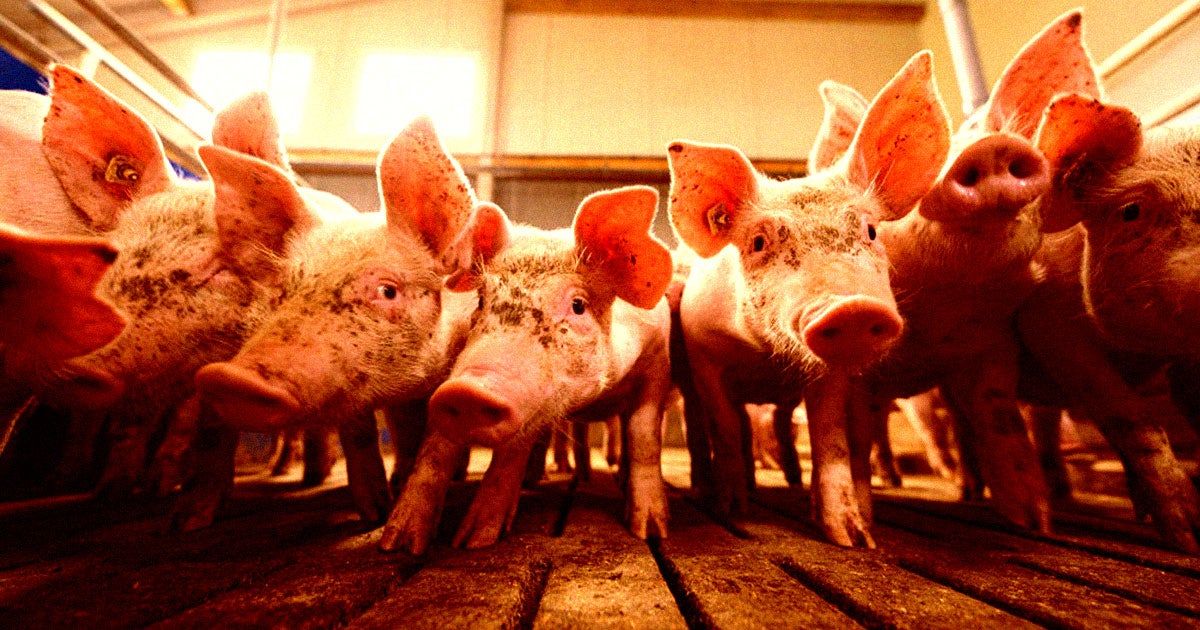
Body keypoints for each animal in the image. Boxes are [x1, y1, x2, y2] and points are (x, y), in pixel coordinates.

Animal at [193, 116, 486, 530]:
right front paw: (378, 511)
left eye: (388, 291)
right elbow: (371, 430)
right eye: (284, 289)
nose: (233, 379)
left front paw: (389, 520)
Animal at [379, 185, 674, 553]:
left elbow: (644, 437)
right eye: (481, 300)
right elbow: (437, 451)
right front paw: (409, 544)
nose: (466, 392)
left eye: (578, 305)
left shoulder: (657, 363)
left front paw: (650, 532)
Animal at [669, 51, 950, 547]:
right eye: (759, 242)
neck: (765, 357)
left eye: (870, 230)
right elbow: (724, 427)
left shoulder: (830, 373)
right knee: (703, 426)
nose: (851, 307)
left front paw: (854, 539)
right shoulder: (704, 356)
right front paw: (733, 512)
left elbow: (830, 437)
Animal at [1015, 91, 1200, 551]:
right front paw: (1187, 537)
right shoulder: (1046, 322)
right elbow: (1130, 415)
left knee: (1041, 420)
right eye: (1131, 211)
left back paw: (1062, 493)